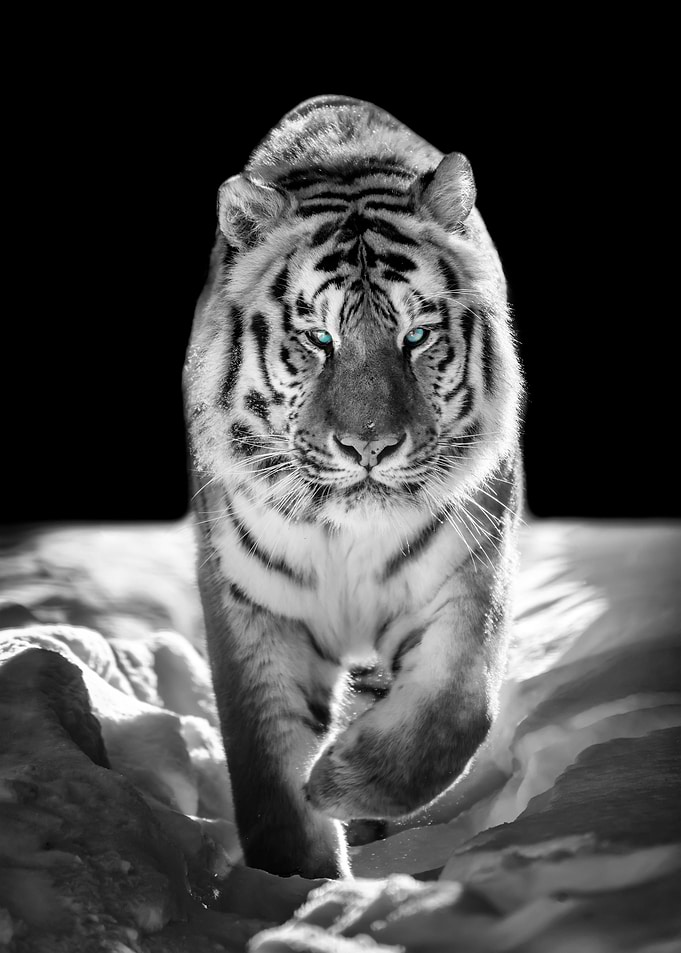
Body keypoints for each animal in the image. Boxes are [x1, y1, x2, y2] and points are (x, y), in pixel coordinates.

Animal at [183, 95, 524, 881]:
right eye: (318, 339)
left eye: (417, 336)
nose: (369, 446)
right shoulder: (252, 603)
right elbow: (265, 771)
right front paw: (301, 886)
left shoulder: (467, 570)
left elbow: (454, 711)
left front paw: (338, 780)